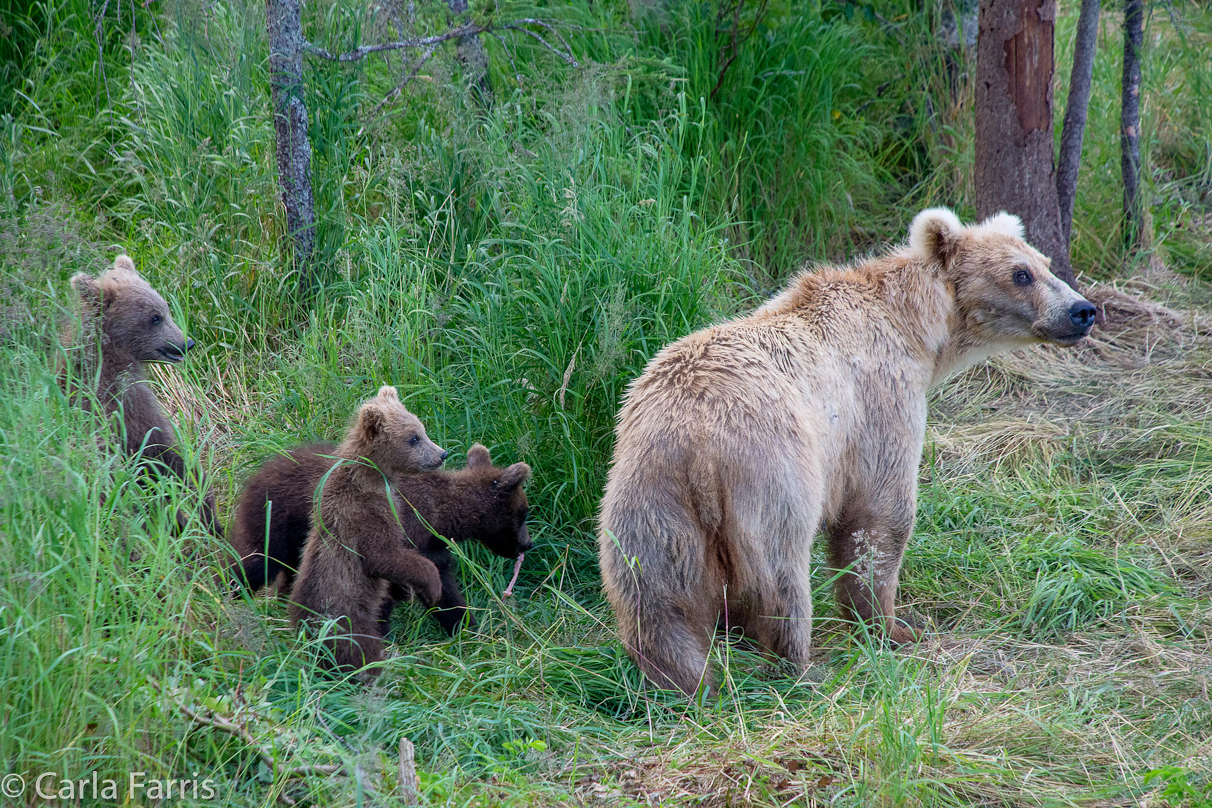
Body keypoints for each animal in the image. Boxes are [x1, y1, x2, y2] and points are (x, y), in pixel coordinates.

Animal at [596, 208, 1100, 697]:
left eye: (1046, 264)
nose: (1083, 310)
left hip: (647, 494)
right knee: (780, 575)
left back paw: (683, 682)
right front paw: (893, 626)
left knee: (655, 601)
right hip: (772, 474)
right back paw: (797, 666)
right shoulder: (879, 404)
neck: (917, 327)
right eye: (1020, 274)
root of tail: (699, 444)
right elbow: (878, 516)